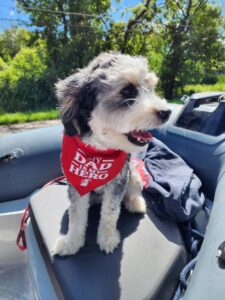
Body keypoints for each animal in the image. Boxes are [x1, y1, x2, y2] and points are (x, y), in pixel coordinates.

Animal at [51, 52, 171, 255]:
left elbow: (110, 212)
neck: (98, 150)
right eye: (127, 92)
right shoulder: (75, 184)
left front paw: (107, 239)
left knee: (131, 195)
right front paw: (72, 242)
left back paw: (135, 203)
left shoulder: (119, 181)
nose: (167, 112)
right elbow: (77, 214)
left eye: (151, 88)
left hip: (134, 177)